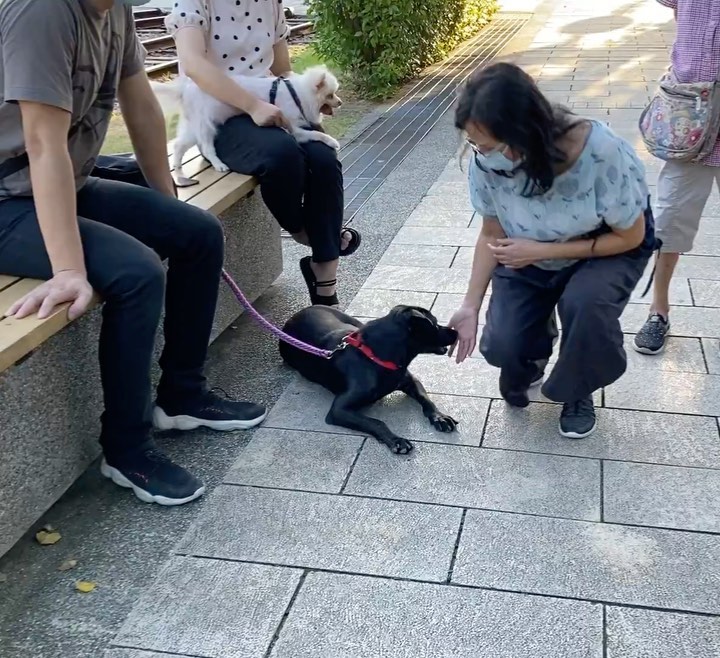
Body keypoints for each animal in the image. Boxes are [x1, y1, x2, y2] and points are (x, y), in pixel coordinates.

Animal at [150, 64, 344, 179]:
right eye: (330, 95)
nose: (340, 102)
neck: (296, 94)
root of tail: (185, 88)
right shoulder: (294, 129)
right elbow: (315, 134)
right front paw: (331, 141)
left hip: (194, 127)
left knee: (179, 145)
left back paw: (177, 167)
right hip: (207, 126)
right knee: (206, 147)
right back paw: (219, 165)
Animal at [278, 304, 458, 452]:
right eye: (435, 323)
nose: (456, 331)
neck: (376, 357)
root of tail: (296, 314)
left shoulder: (411, 381)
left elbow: (426, 399)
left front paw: (439, 417)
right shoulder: (339, 410)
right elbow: (376, 422)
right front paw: (396, 440)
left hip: (355, 323)